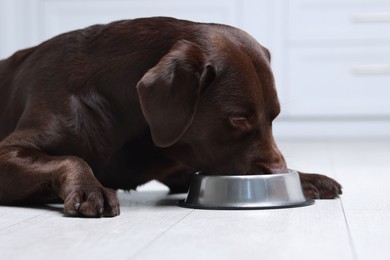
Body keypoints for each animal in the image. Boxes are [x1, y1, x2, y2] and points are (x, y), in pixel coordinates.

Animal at [0, 15, 342, 215]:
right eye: (238, 119)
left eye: (274, 116)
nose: (277, 171)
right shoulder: (8, 151)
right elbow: (71, 158)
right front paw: (90, 187)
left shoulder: (179, 167)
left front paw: (307, 178)